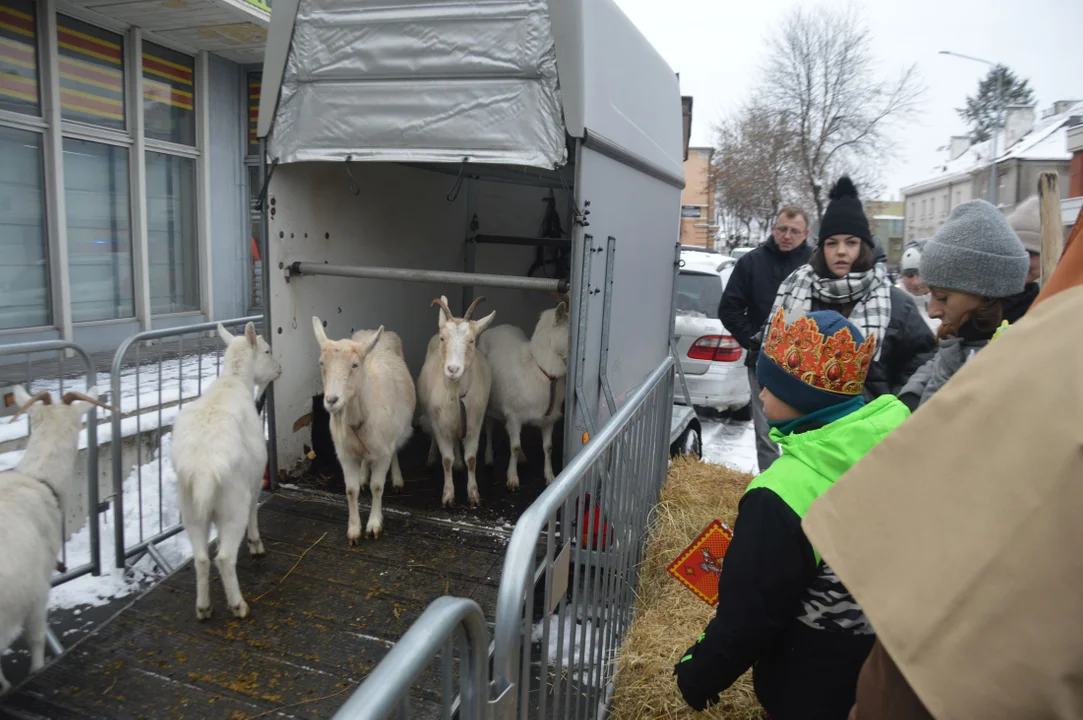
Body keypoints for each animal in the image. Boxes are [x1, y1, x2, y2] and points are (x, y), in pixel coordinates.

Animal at [173, 320, 283, 619]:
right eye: (267, 350)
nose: (279, 369)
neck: (234, 381)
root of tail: (203, 471)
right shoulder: (254, 480)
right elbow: (255, 512)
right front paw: (256, 545)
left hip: (190, 510)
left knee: (201, 558)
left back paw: (203, 608)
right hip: (233, 502)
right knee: (222, 558)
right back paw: (238, 605)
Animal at [316, 318, 415, 541]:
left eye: (354, 365)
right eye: (322, 363)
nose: (331, 400)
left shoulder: (383, 451)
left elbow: (377, 487)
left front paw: (374, 525)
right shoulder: (345, 454)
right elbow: (351, 490)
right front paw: (354, 530)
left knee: (395, 451)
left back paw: (397, 479)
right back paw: (363, 475)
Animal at [415, 292, 496, 504]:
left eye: (472, 341)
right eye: (444, 338)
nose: (453, 369)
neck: (457, 394)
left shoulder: (474, 423)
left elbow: (471, 459)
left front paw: (473, 494)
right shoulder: (440, 424)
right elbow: (446, 459)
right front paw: (448, 495)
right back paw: (432, 457)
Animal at [480, 300, 571, 491]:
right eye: (569, 328)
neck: (540, 370)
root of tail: (499, 326)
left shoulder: (549, 419)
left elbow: (548, 447)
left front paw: (550, 477)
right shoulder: (514, 415)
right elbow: (514, 446)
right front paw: (513, 479)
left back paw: (522, 457)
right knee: (489, 427)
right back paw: (489, 458)